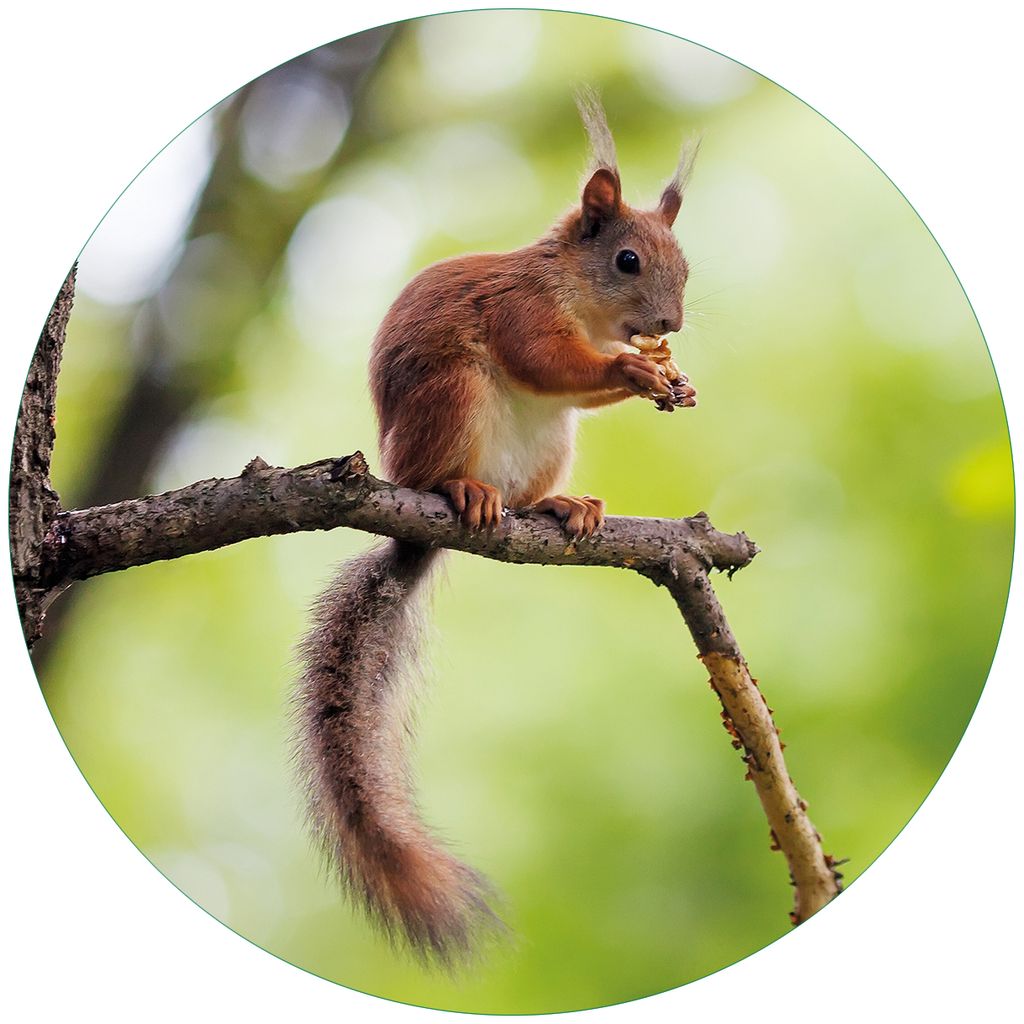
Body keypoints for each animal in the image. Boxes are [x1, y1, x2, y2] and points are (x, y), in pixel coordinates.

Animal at [294, 93, 698, 964]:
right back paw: (463, 490)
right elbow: (547, 360)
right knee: (445, 469)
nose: (670, 322)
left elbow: (578, 386)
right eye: (627, 260)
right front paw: (633, 369)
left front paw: (668, 379)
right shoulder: (520, 311)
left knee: (531, 490)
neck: (575, 293)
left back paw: (559, 508)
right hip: (452, 397)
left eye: (686, 264)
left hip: (551, 444)